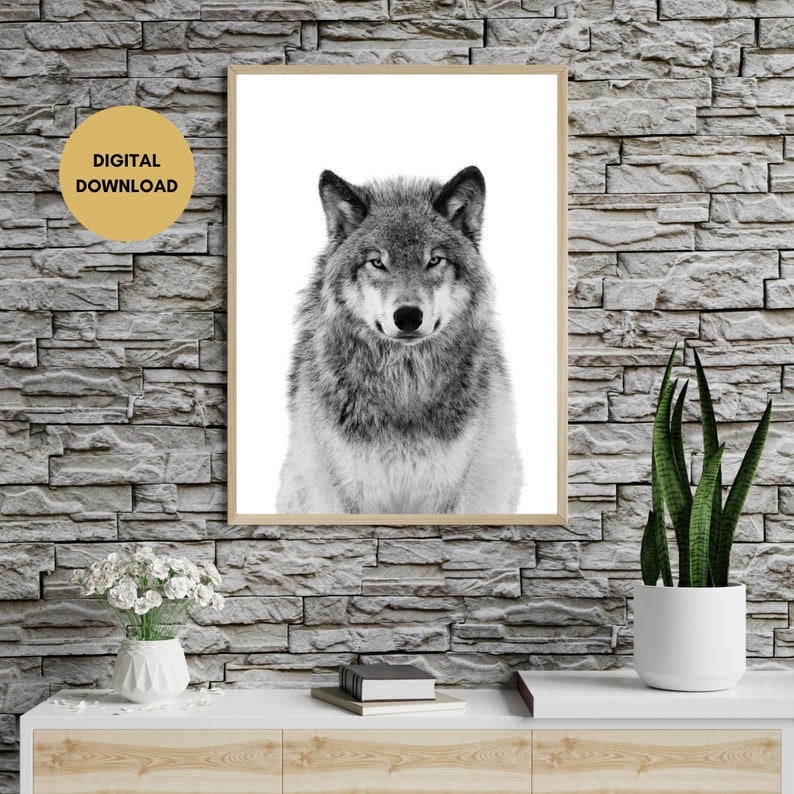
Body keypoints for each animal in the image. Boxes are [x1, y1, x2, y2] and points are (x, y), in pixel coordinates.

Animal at [276, 165, 523, 515]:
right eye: (377, 262)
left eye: (434, 260)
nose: (407, 316)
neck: (404, 387)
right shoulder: (350, 491)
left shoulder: (447, 491)